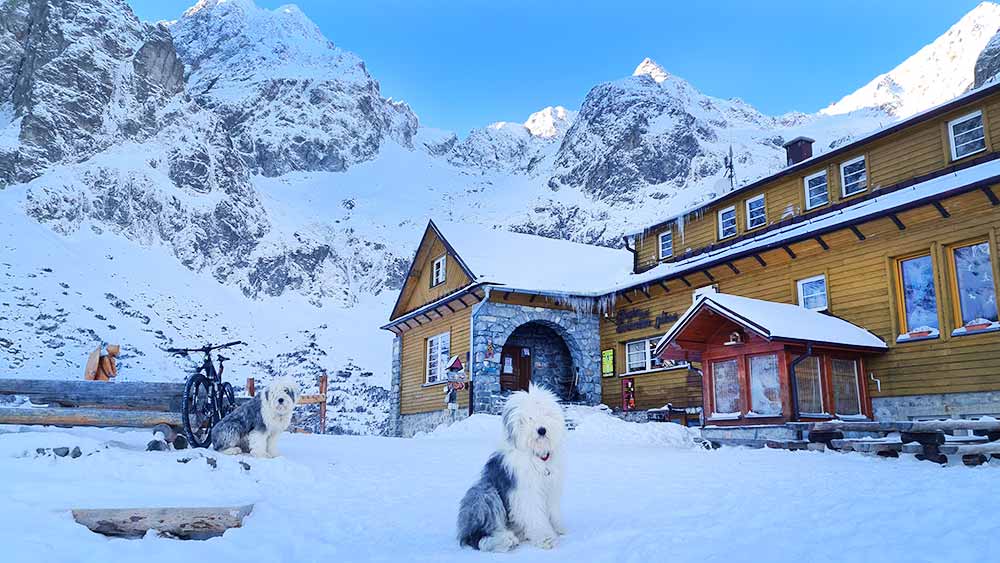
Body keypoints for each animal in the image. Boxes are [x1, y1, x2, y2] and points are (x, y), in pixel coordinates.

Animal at [458, 386, 568, 552]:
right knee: (479, 536)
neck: (537, 456)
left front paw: (558, 528)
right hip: (483, 494)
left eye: (545, 413)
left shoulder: (551, 488)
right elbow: (535, 515)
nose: (541, 430)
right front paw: (545, 538)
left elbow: (553, 510)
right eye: (529, 418)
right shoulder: (527, 491)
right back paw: (506, 540)